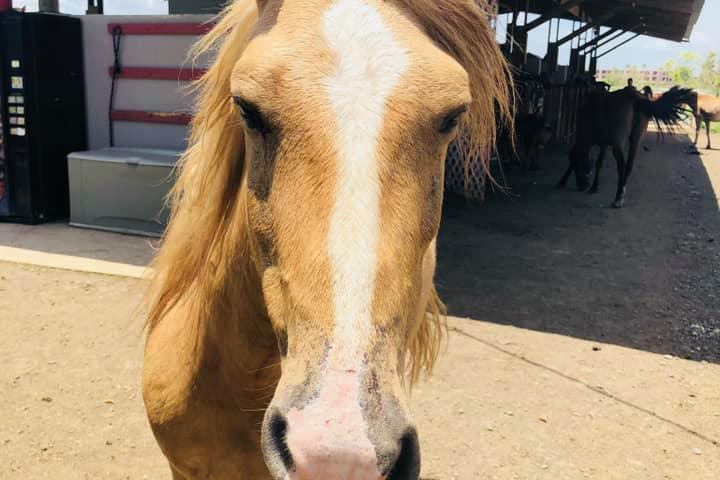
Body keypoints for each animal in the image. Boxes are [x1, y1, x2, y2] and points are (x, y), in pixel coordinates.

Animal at [556, 86, 692, 208]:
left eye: (579, 166)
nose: (582, 186)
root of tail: (635, 98)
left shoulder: (601, 142)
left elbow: (597, 162)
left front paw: (565, 181)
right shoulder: (604, 144)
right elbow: (599, 163)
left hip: (618, 143)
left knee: (622, 165)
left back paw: (618, 198)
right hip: (636, 139)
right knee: (629, 165)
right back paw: (621, 191)